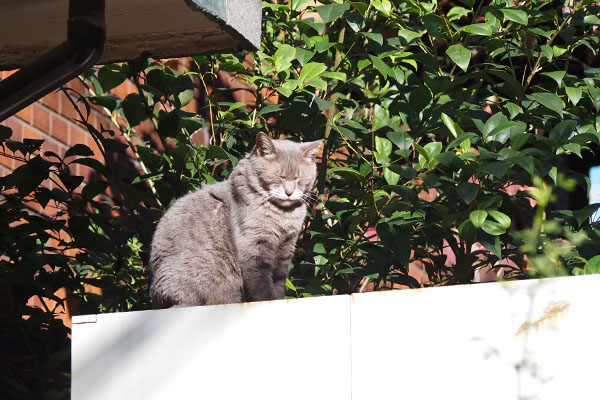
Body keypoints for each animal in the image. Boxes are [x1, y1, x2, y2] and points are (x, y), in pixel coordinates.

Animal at [149, 133, 324, 308]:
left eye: (299, 178)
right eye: (279, 176)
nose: (289, 192)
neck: (284, 214)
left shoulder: (286, 247)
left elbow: (279, 281)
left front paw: (278, 298)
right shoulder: (255, 244)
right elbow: (261, 284)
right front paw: (269, 299)